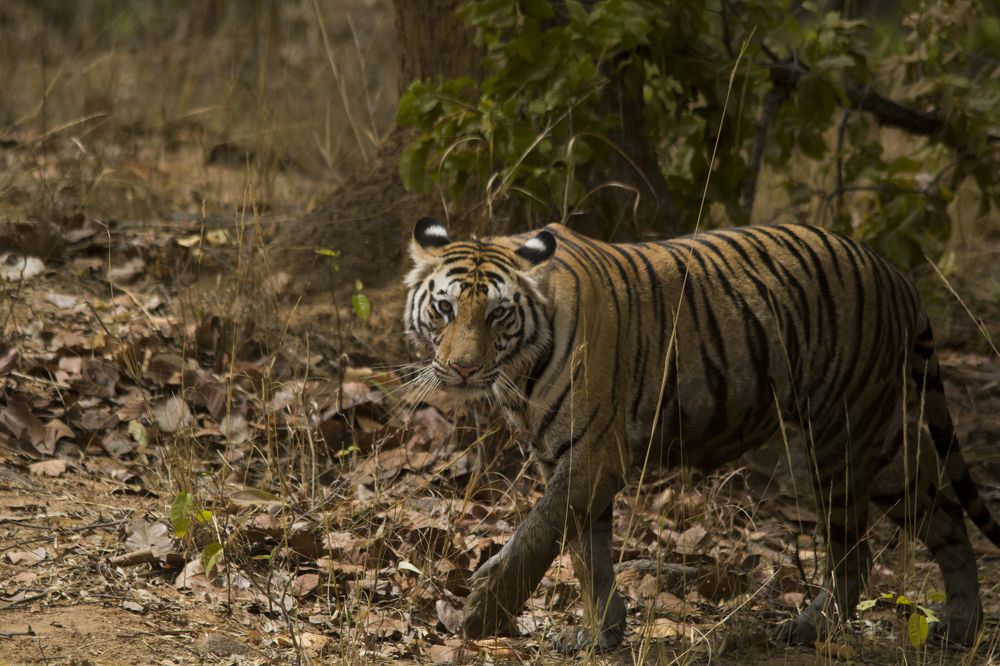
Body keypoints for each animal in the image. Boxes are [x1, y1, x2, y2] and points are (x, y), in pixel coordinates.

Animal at [402, 216, 1000, 651]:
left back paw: (810, 628)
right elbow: (586, 553)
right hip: (882, 442)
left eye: (499, 314)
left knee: (853, 551)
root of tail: (895, 273)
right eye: (444, 308)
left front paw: (482, 613)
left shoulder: (593, 454)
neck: (518, 368)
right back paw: (962, 625)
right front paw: (600, 633)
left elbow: (538, 534)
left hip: (840, 435)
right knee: (945, 515)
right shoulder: (566, 457)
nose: (461, 369)